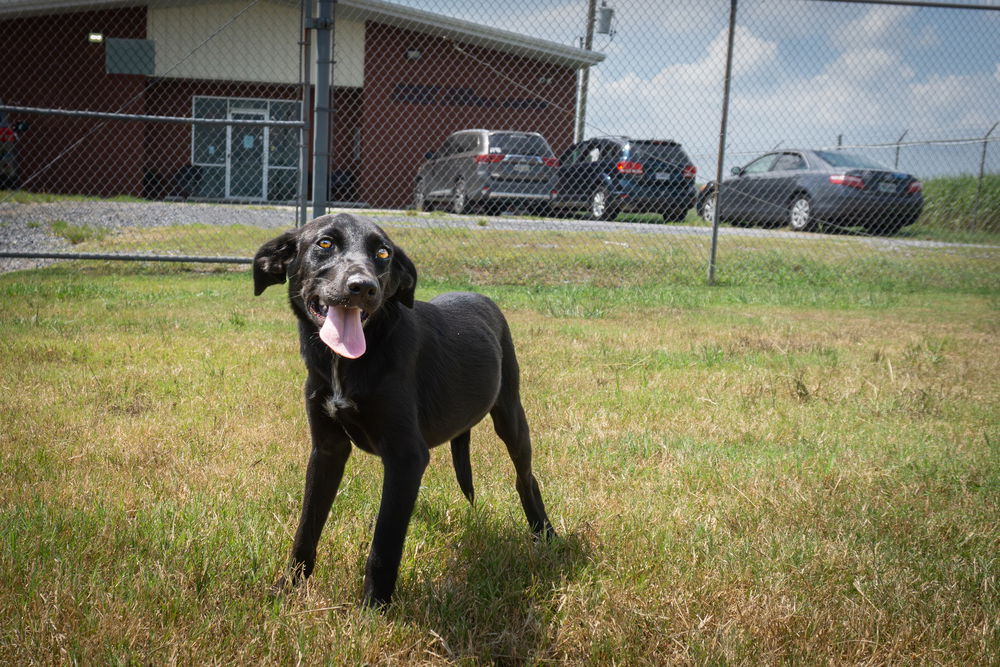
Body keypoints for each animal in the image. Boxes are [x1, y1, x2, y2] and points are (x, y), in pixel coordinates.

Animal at [252, 213, 556, 604]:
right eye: (325, 243)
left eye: (383, 253)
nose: (363, 288)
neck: (347, 363)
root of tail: (480, 296)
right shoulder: (327, 449)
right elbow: (307, 528)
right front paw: (287, 588)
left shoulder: (407, 457)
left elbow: (385, 544)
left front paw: (373, 608)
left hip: (510, 415)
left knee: (525, 477)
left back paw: (545, 534)